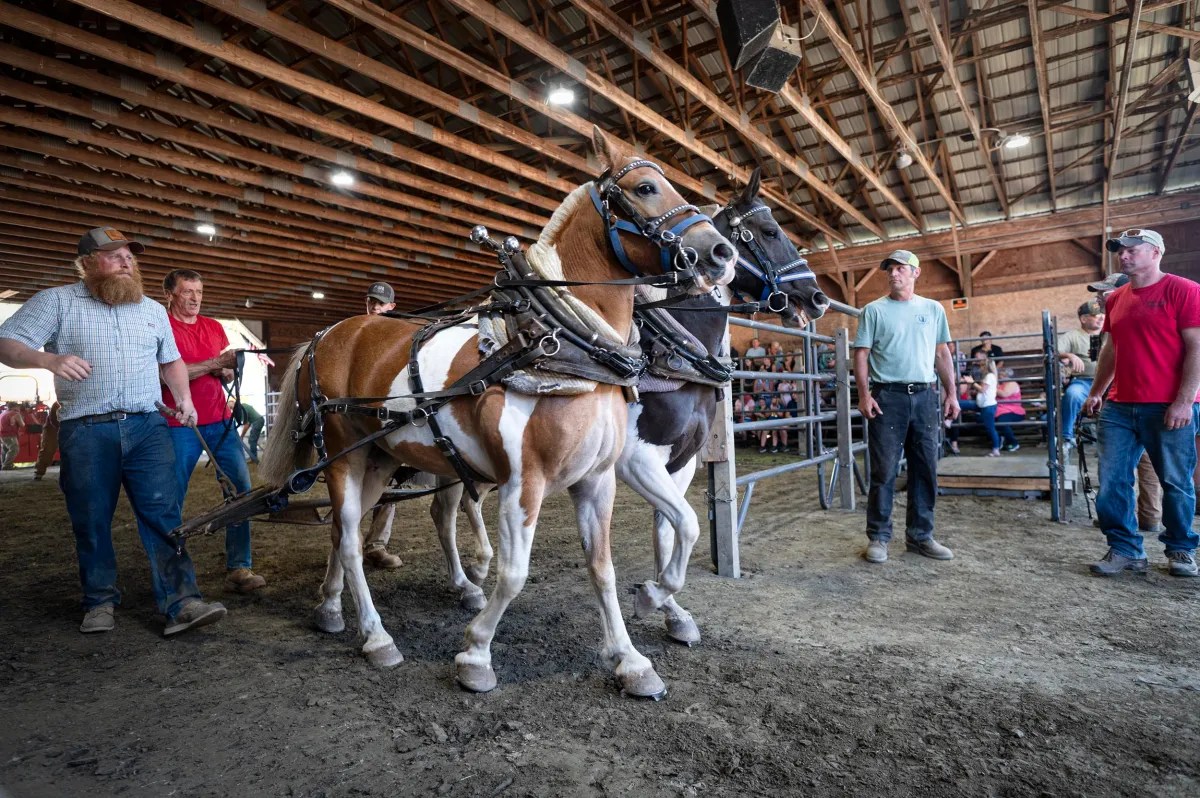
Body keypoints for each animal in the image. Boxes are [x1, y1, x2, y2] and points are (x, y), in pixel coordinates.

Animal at [259, 127, 737, 698]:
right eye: (646, 187)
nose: (720, 252)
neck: (565, 345)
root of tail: (327, 334)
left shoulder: (598, 479)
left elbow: (604, 569)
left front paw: (632, 659)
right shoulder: (523, 482)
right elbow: (513, 573)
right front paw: (475, 652)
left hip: (378, 458)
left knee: (341, 532)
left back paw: (330, 608)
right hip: (342, 456)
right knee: (352, 538)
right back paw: (376, 637)